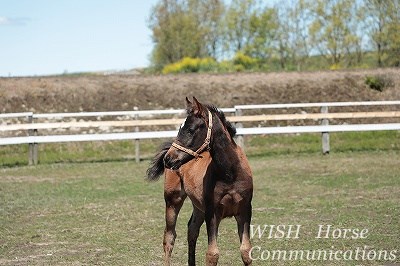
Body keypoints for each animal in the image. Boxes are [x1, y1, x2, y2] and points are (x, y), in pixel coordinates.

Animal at [147, 97, 253, 266]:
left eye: (190, 130)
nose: (168, 159)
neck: (230, 174)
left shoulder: (245, 210)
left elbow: (246, 251)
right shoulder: (212, 212)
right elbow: (212, 254)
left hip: (198, 206)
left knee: (192, 229)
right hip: (173, 200)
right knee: (169, 237)